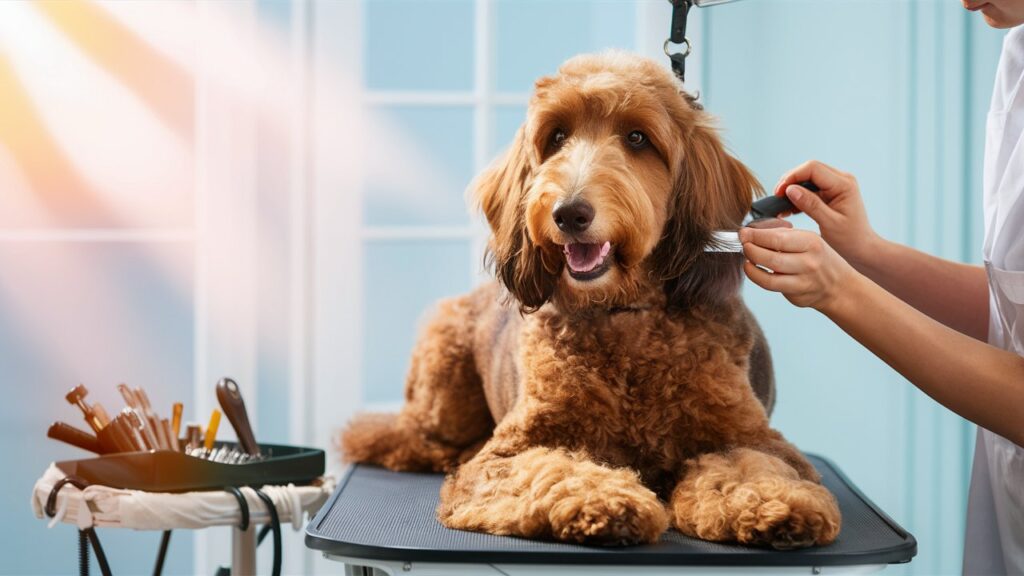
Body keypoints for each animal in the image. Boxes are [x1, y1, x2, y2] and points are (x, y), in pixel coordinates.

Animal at [344, 52, 839, 545]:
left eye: (638, 138)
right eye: (557, 136)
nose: (569, 213)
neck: (623, 313)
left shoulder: (754, 437)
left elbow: (752, 466)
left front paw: (775, 503)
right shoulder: (506, 454)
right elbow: (551, 467)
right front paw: (604, 500)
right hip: (442, 390)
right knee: (395, 437)